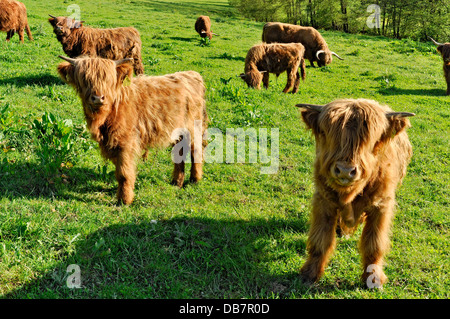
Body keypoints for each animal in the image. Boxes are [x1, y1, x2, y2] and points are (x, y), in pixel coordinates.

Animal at [56, 55, 209, 205]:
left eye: (109, 79)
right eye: (84, 78)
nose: (98, 98)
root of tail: (191, 74)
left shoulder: (126, 143)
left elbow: (124, 173)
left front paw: (124, 200)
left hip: (194, 127)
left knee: (196, 151)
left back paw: (195, 180)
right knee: (180, 153)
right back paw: (176, 182)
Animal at [296, 99, 414, 288]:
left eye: (370, 139)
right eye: (328, 133)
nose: (345, 171)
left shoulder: (381, 206)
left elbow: (374, 244)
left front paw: (374, 279)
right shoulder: (324, 201)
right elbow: (320, 240)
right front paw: (309, 274)